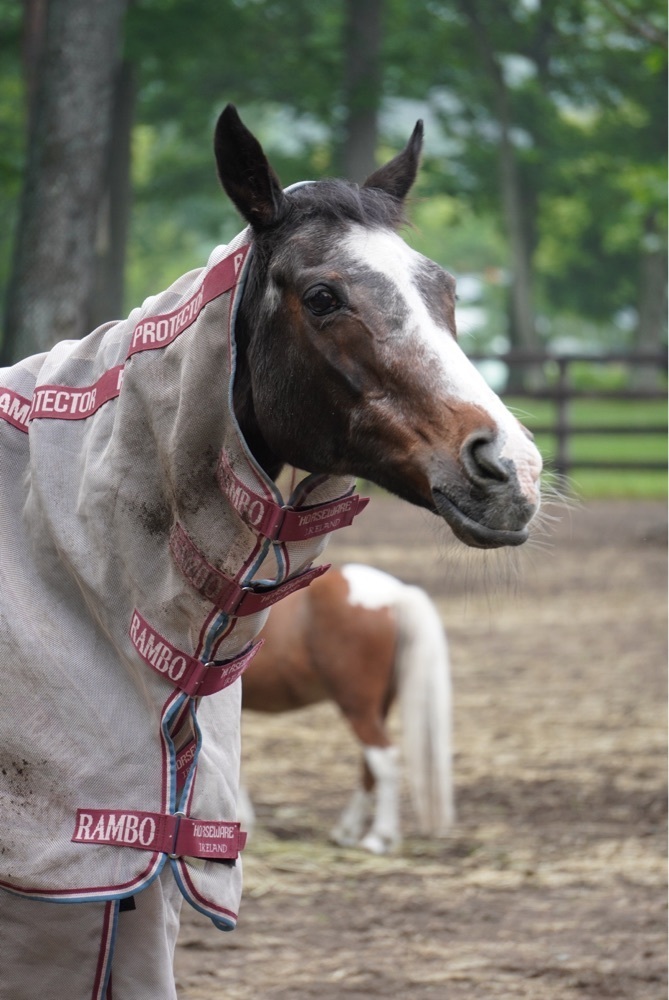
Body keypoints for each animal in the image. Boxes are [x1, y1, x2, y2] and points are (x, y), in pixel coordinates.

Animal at [239, 562, 454, 855]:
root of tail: (395, 594)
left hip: (357, 707)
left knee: (384, 759)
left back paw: (379, 837)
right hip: (376, 708)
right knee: (370, 764)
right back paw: (347, 832)